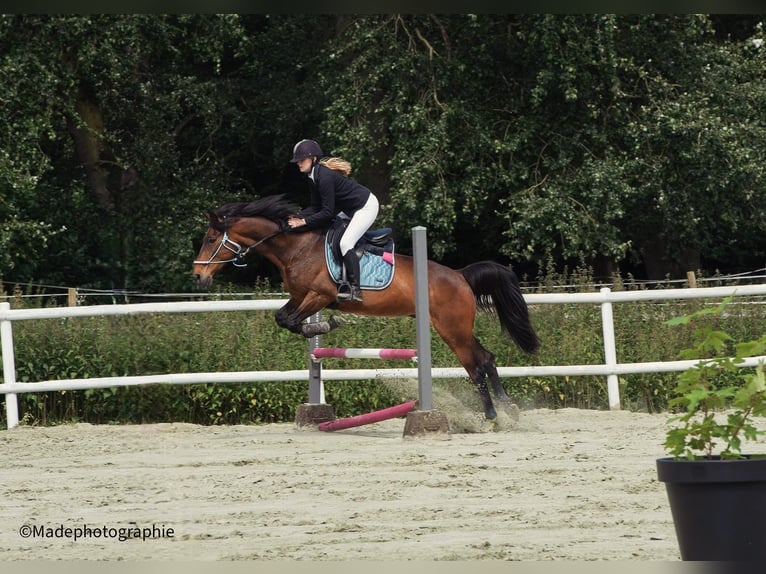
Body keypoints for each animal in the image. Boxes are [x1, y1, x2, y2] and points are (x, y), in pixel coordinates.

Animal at [192, 196, 540, 420]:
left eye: (210, 239)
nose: (197, 276)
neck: (296, 247)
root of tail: (460, 275)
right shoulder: (302, 296)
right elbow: (283, 318)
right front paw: (318, 329)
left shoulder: (320, 295)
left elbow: (291, 321)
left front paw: (325, 325)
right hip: (458, 328)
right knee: (487, 358)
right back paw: (507, 409)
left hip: (452, 329)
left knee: (476, 366)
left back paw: (492, 416)